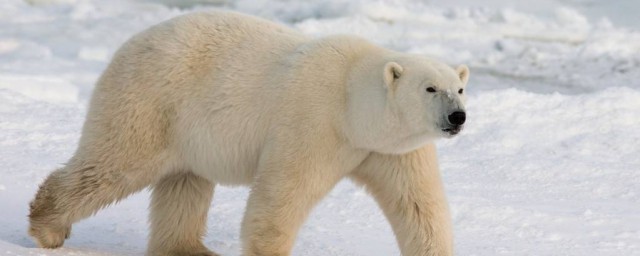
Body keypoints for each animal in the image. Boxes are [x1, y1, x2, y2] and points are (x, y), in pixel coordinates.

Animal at [28, 10, 470, 256]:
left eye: (460, 87)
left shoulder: (392, 150)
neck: (352, 101)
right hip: (150, 101)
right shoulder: (313, 122)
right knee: (114, 164)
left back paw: (189, 249)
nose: (458, 117)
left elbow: (418, 206)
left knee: (184, 183)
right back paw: (48, 227)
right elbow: (282, 195)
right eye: (431, 88)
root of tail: (128, 44)